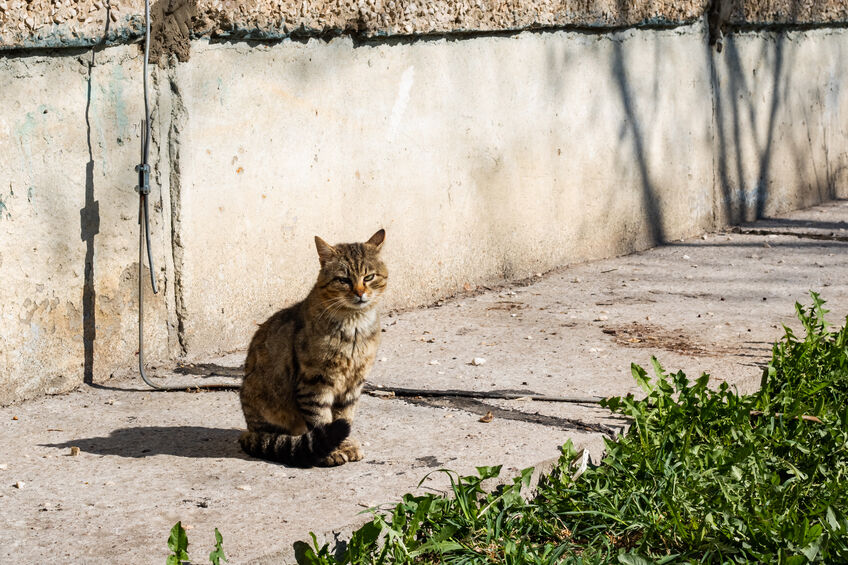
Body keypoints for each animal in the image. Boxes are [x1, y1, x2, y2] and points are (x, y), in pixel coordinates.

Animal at [237, 227, 386, 464]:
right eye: (343, 280)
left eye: (369, 277)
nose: (360, 293)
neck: (354, 326)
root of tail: (249, 431)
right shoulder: (314, 383)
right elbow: (322, 421)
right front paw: (332, 452)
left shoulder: (353, 384)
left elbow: (345, 417)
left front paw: (345, 445)